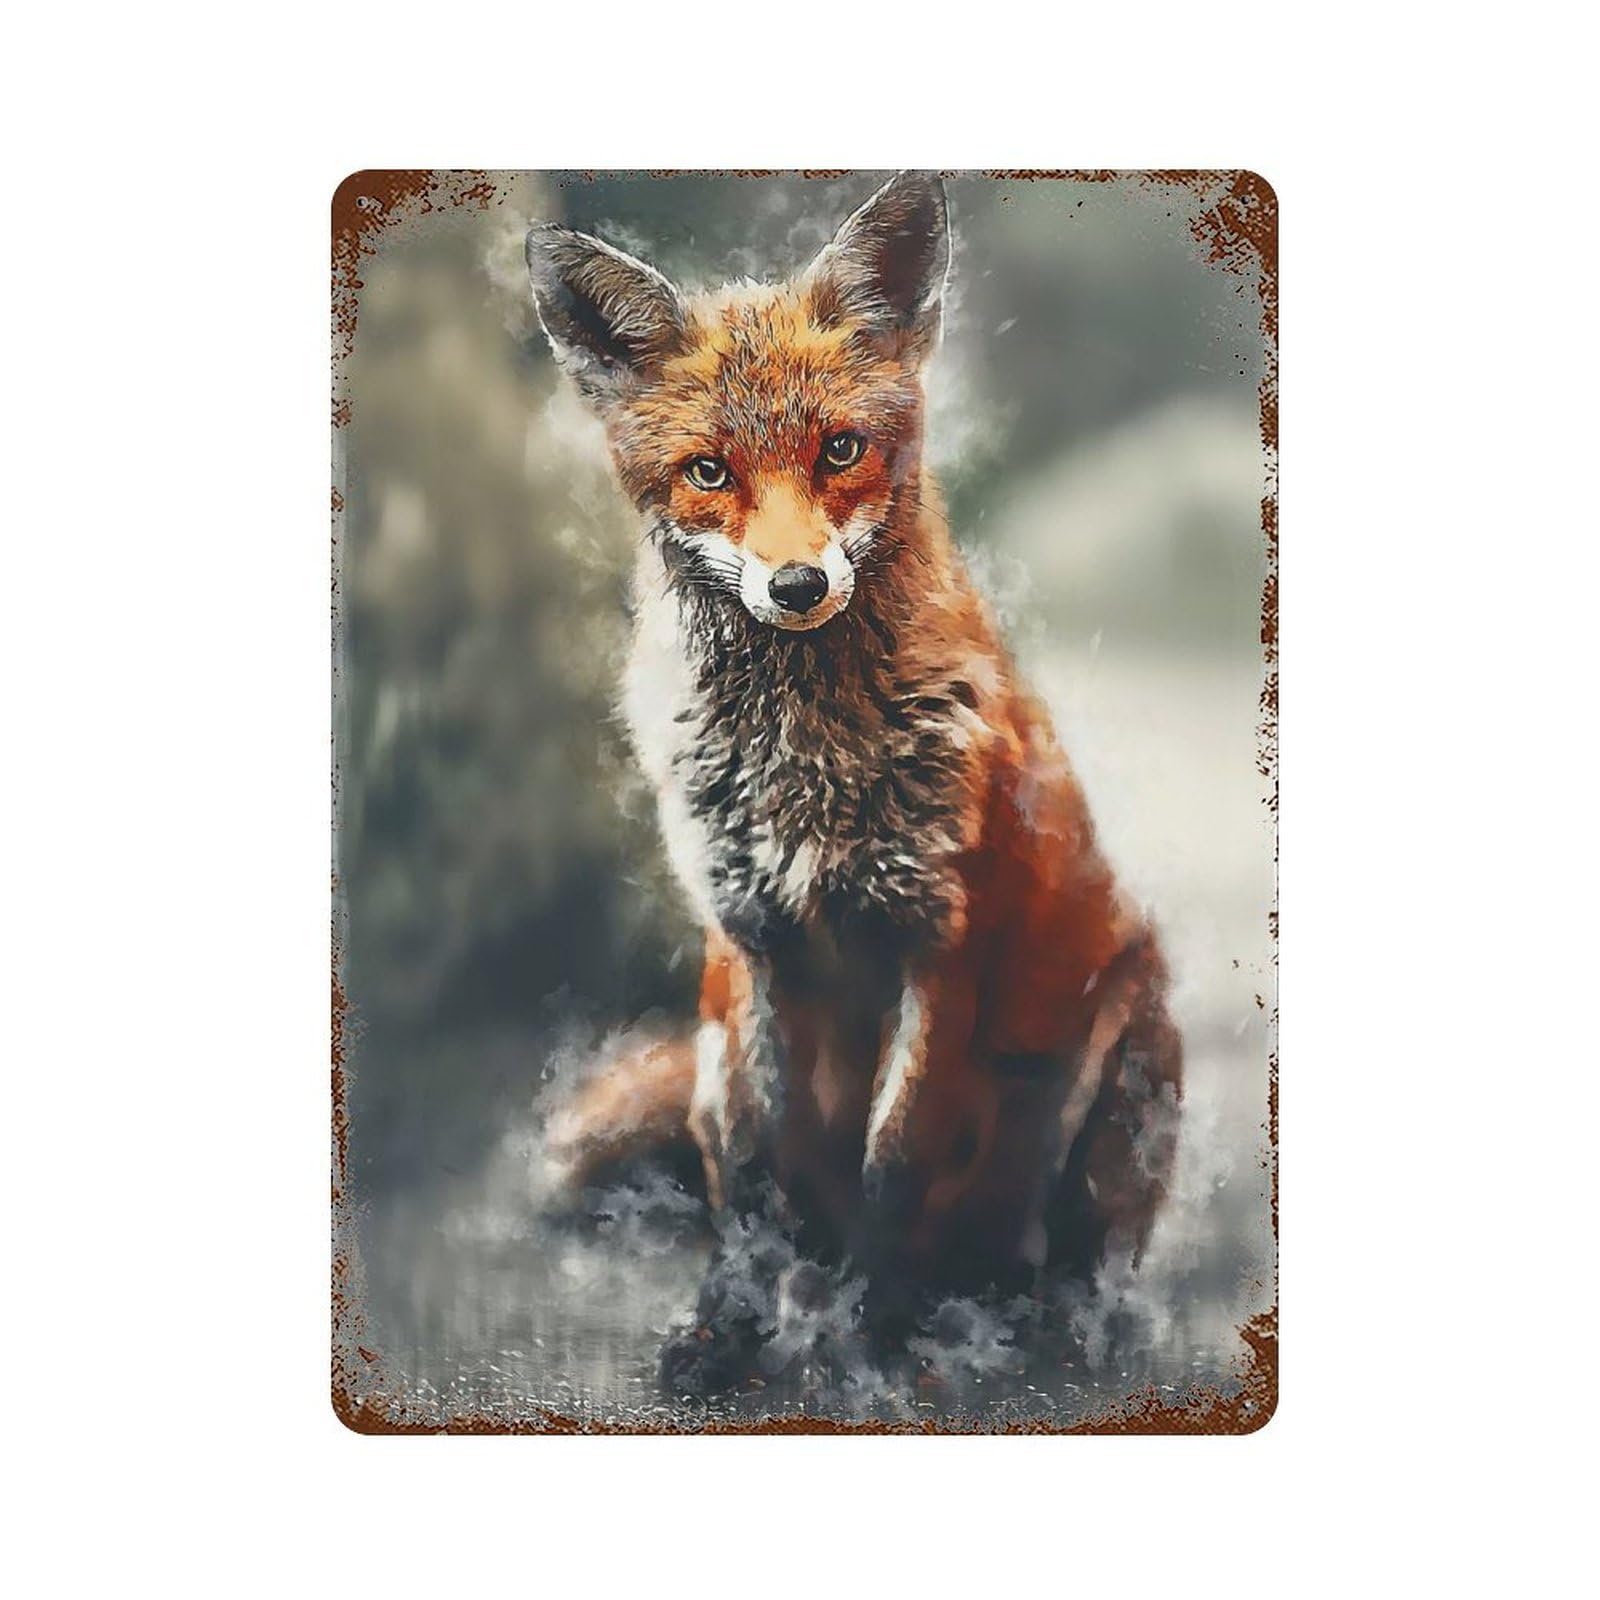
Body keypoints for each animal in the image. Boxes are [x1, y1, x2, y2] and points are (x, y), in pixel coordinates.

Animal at [526, 172, 1182, 1397]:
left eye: (840, 448)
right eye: (708, 472)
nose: (794, 585)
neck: (805, 771)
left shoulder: (940, 944)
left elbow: (896, 1168)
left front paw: (868, 1352)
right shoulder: (747, 947)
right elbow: (753, 1183)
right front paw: (727, 1331)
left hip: (1129, 1055)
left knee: (1074, 1251)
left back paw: (1045, 1321)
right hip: (706, 1049)